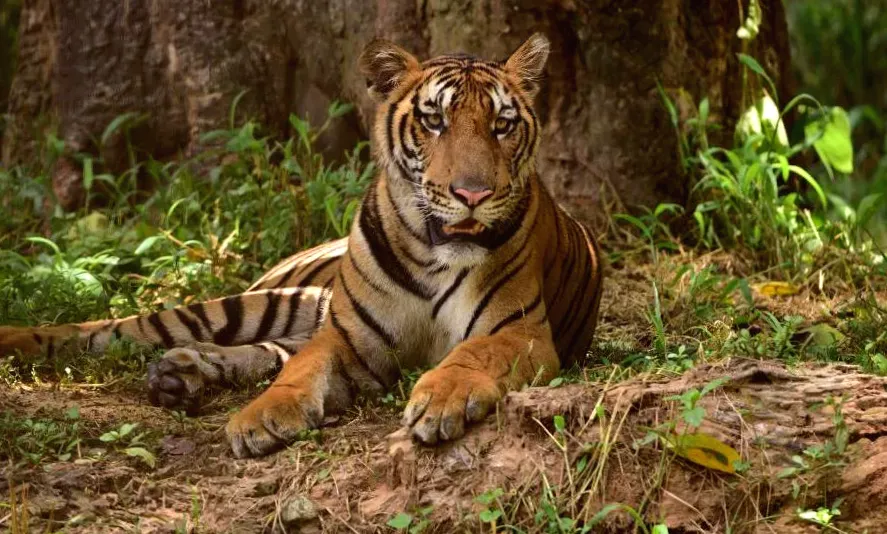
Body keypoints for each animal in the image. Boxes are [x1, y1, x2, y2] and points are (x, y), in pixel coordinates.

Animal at [0, 33, 604, 458]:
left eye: (502, 125)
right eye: (434, 120)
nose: (472, 194)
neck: (434, 256)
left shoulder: (521, 331)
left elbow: (470, 353)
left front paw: (441, 397)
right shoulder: (348, 336)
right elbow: (300, 371)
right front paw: (258, 419)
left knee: (265, 348)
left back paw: (180, 375)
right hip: (264, 301)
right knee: (119, 329)